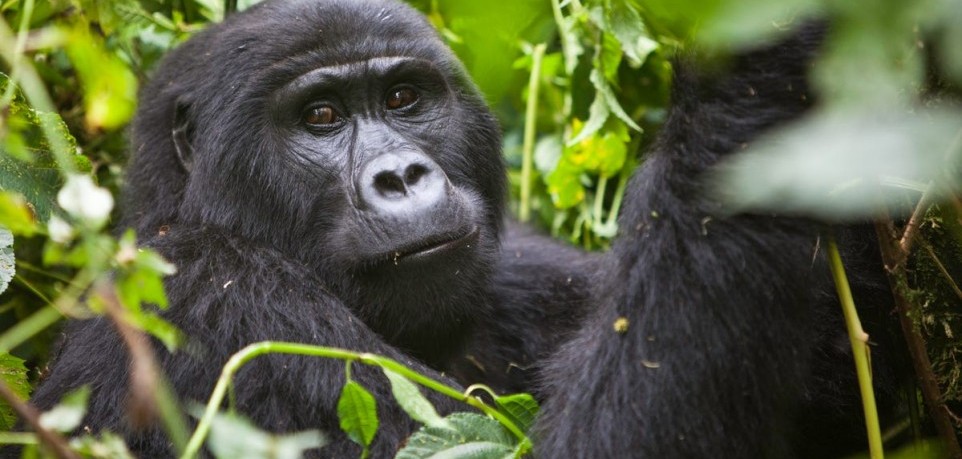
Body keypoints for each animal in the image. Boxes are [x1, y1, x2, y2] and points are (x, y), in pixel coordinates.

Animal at [28, 0, 900, 458]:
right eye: (321, 117)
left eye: (404, 98)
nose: (403, 176)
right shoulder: (208, 298)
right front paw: (757, 65)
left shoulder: (529, 270)